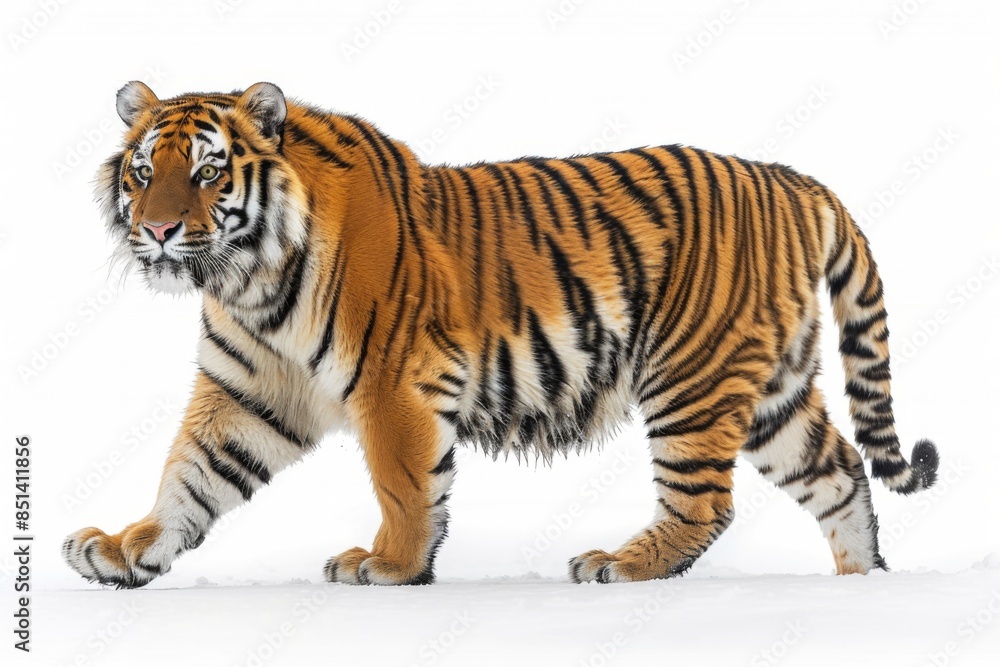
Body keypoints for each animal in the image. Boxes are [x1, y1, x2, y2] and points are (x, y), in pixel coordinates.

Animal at [63, 81, 940, 588]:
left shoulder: (394, 382)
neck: (250, 281)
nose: (159, 230)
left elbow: (404, 483)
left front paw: (390, 563)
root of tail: (798, 181)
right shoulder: (248, 389)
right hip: (770, 389)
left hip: (692, 377)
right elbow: (191, 474)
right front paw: (127, 548)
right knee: (838, 472)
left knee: (706, 504)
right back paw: (863, 581)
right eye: (144, 171)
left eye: (209, 172)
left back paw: (619, 564)